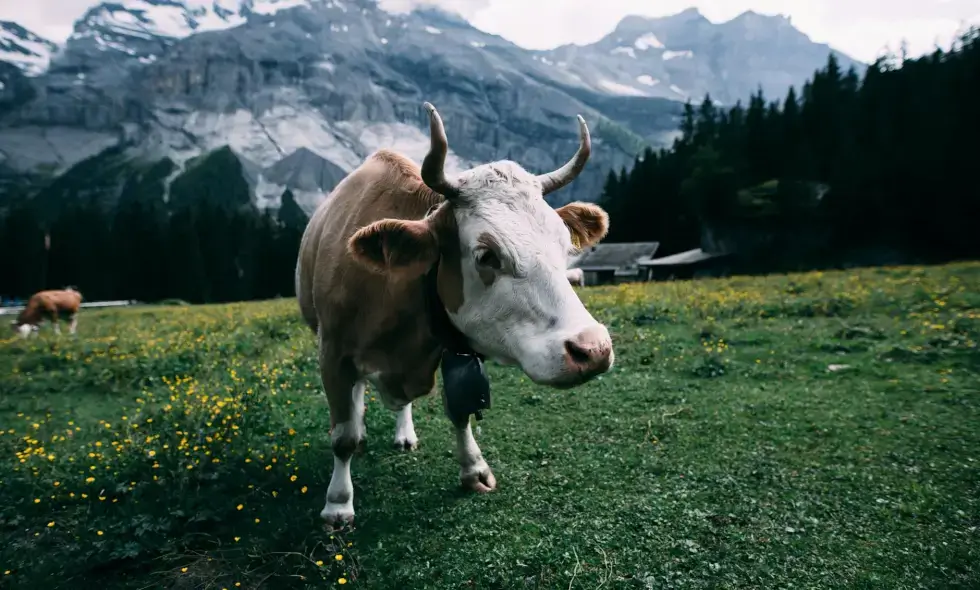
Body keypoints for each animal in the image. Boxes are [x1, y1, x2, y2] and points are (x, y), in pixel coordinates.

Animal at [294, 102, 616, 528]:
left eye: (565, 245)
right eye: (486, 255)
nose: (593, 349)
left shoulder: (453, 348)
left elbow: (460, 410)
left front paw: (474, 469)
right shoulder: (332, 354)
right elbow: (342, 436)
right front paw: (337, 503)